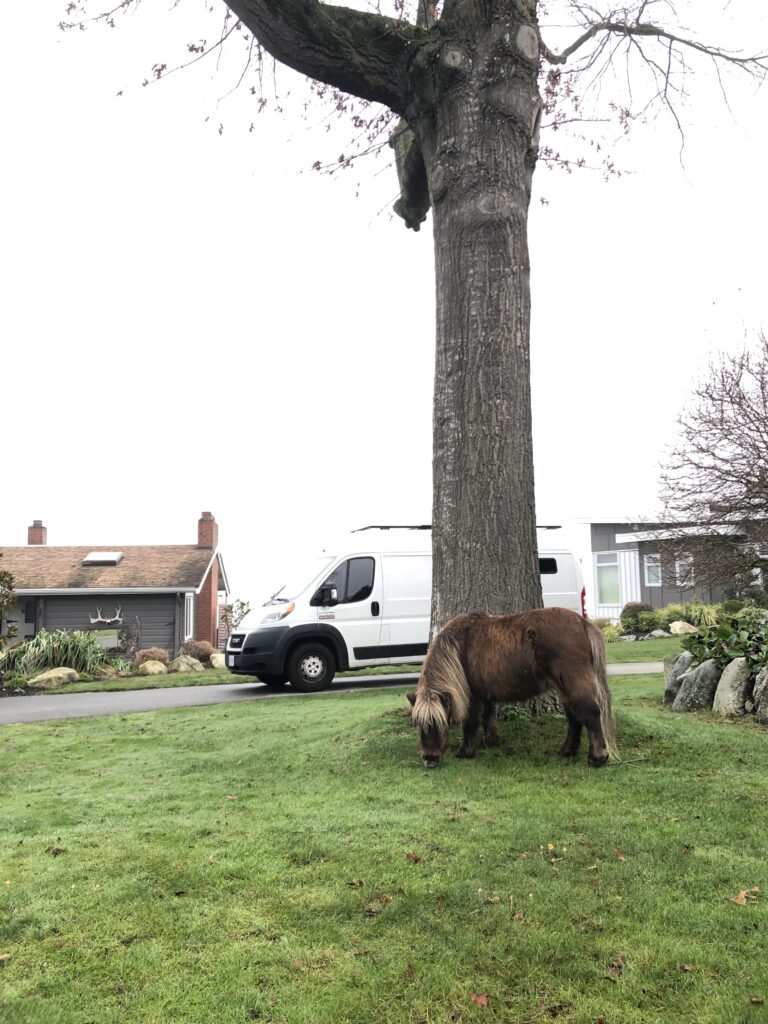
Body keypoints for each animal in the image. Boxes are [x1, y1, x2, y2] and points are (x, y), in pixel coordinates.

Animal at [409, 606, 618, 770]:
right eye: (419, 725)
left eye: (440, 724)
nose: (429, 760)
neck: (458, 647)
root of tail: (582, 623)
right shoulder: (486, 695)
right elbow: (488, 718)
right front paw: (492, 742)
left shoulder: (474, 696)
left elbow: (470, 723)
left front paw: (465, 752)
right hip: (564, 688)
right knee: (574, 718)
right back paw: (567, 751)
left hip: (574, 683)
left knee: (590, 714)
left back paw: (597, 757)